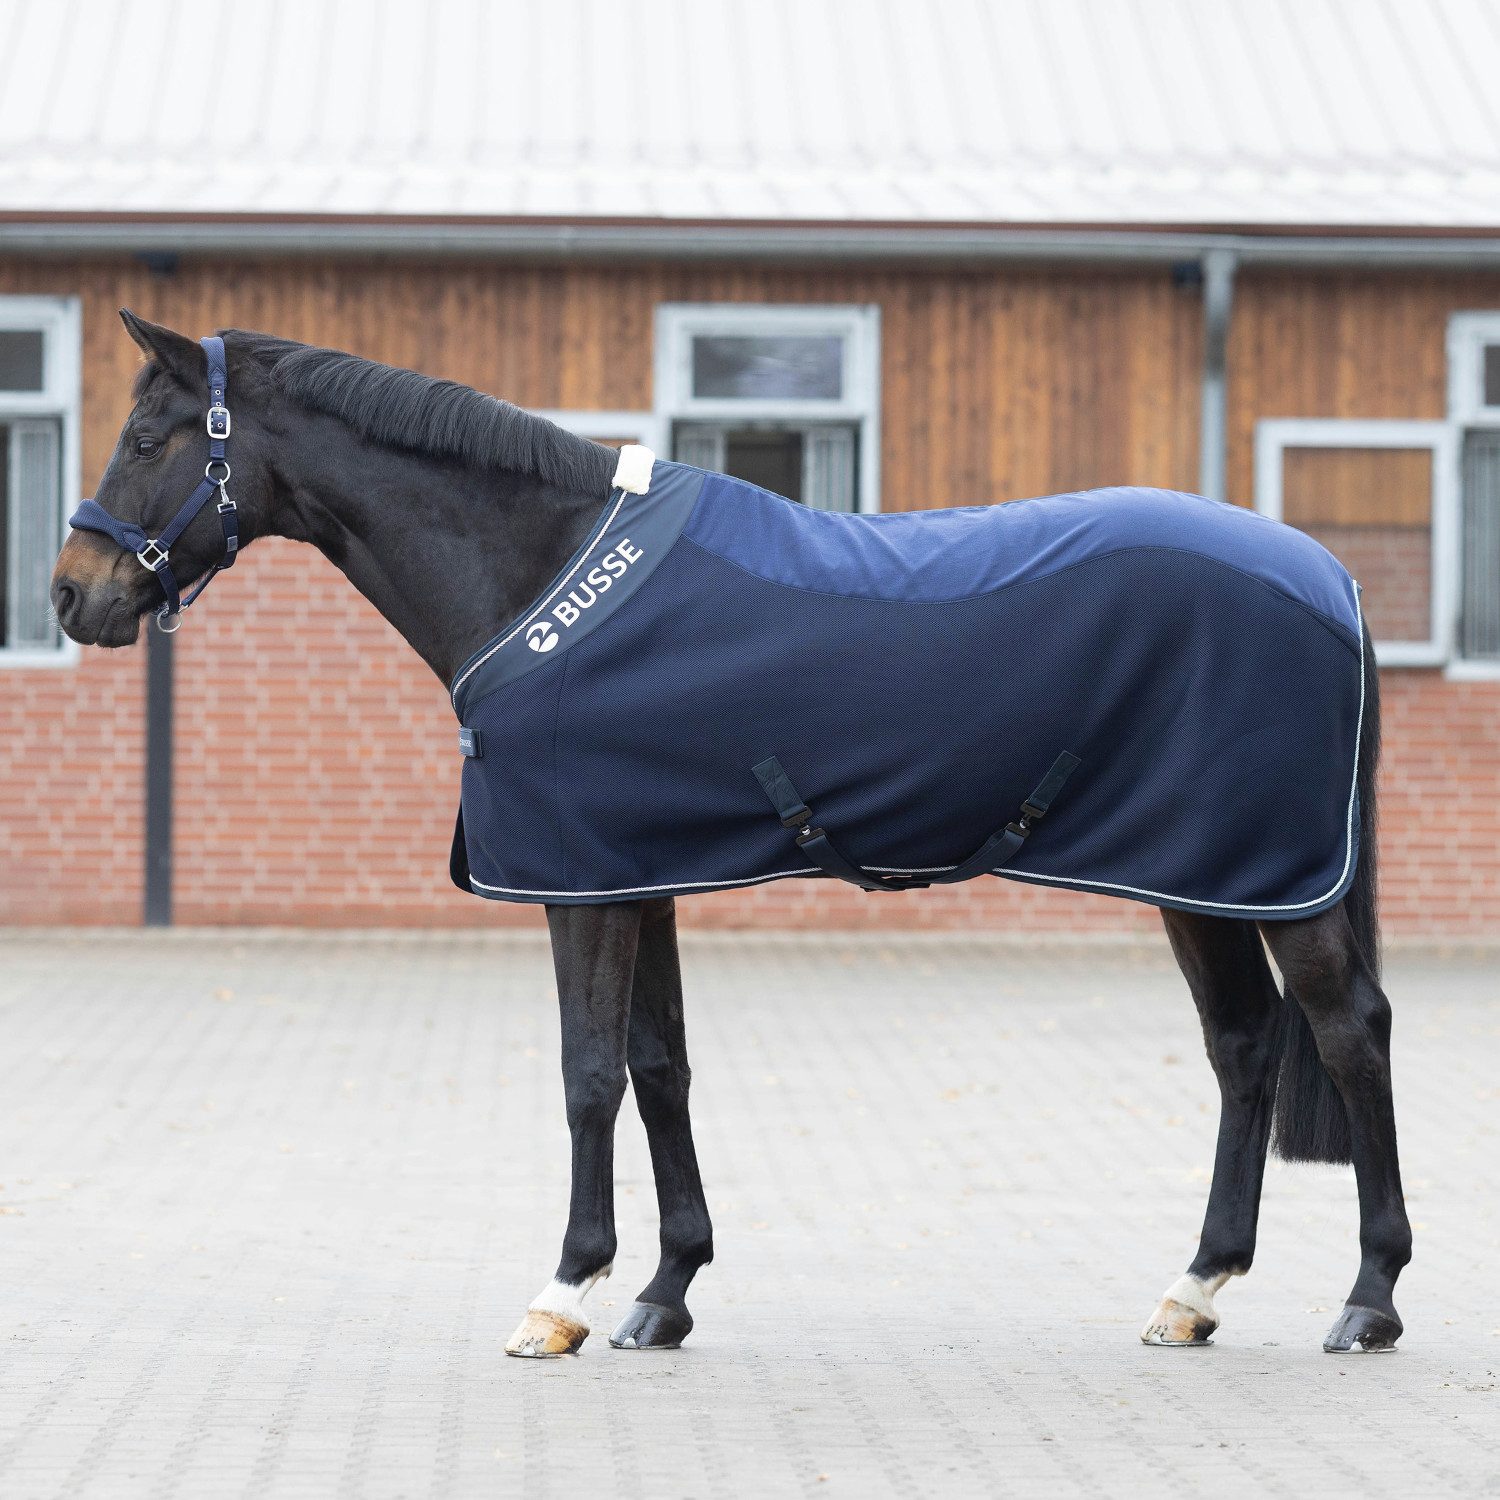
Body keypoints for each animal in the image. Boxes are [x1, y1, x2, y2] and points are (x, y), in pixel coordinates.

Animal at [50, 312, 1411, 1360]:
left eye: (148, 438)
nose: (72, 595)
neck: (544, 570)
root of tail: (1328, 578)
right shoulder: (638, 870)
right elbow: (661, 1068)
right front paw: (663, 1295)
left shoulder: (582, 886)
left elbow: (587, 1074)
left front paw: (563, 1294)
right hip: (1207, 880)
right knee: (1244, 1047)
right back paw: (1194, 1291)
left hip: (1273, 883)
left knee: (1347, 1035)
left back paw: (1369, 1300)